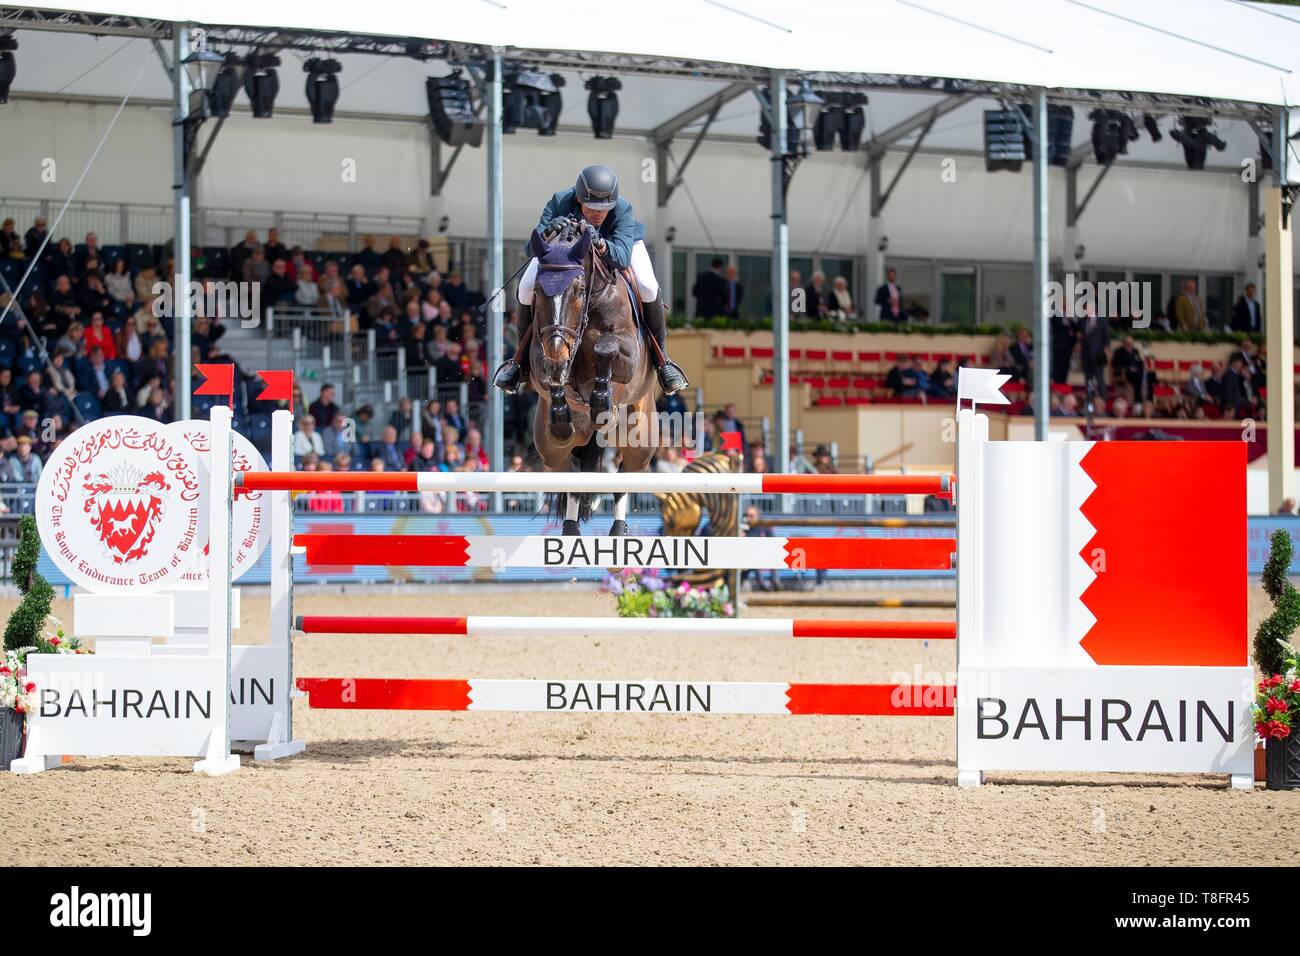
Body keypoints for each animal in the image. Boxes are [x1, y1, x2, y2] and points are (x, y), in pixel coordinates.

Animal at [522, 217, 655, 538]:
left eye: (579, 289)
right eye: (537, 291)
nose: (558, 350)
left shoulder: (629, 353)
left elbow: (604, 347)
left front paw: (601, 401)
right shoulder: (539, 352)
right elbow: (550, 373)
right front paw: (561, 409)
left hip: (639, 440)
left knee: (625, 475)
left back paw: (618, 530)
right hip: (552, 447)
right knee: (570, 473)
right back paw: (570, 529)